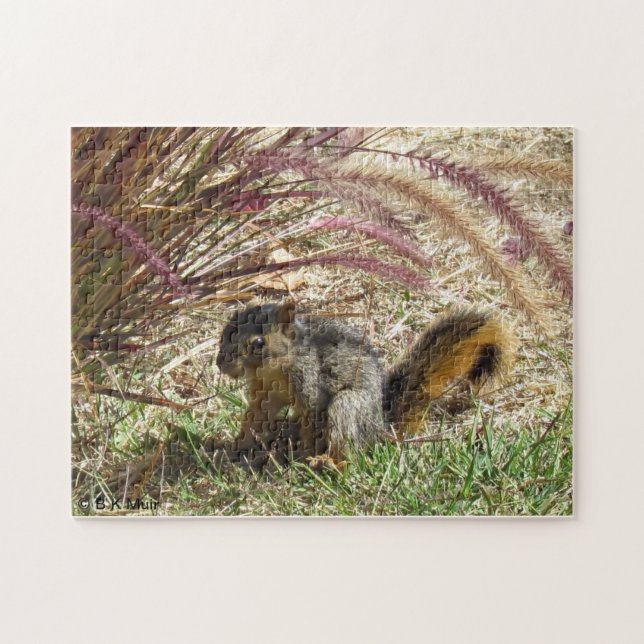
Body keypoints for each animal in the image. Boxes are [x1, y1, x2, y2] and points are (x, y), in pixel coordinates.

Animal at [216, 301, 515, 462]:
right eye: (226, 329)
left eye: (258, 343)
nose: (221, 364)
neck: (275, 368)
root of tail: (382, 427)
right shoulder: (264, 391)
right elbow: (257, 416)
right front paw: (233, 447)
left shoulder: (310, 384)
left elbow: (311, 418)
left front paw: (303, 455)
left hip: (347, 405)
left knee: (348, 448)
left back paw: (328, 462)